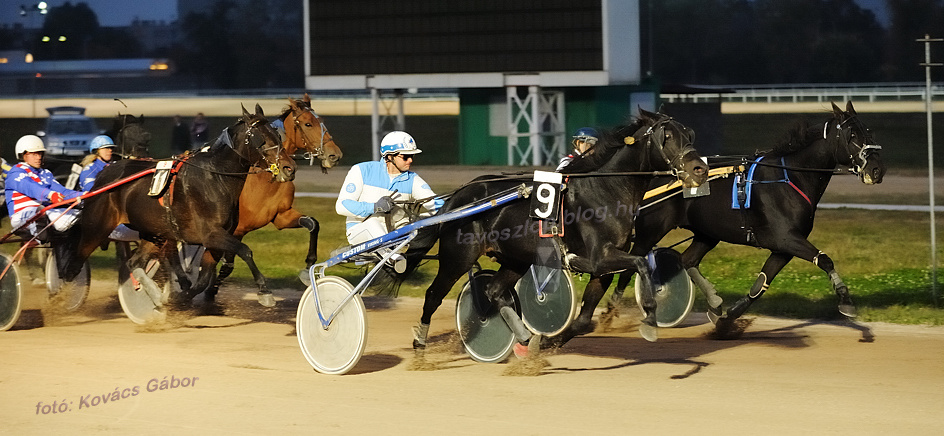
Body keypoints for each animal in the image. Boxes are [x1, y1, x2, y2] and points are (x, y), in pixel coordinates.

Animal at [55, 103, 296, 306]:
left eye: (277, 134)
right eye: (259, 138)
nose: (289, 168)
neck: (215, 178)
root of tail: (104, 175)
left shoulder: (216, 239)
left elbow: (203, 279)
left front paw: (178, 298)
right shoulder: (212, 234)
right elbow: (245, 251)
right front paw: (265, 292)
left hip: (153, 233)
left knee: (134, 263)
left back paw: (154, 294)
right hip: (96, 229)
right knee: (73, 268)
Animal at [402, 110, 712, 354]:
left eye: (689, 134)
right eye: (666, 136)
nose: (699, 169)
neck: (605, 190)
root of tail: (460, 195)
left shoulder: (602, 269)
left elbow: (584, 321)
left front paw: (548, 342)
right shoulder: (599, 258)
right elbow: (641, 264)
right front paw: (649, 319)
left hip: (515, 259)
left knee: (493, 290)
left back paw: (525, 338)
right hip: (458, 256)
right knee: (433, 295)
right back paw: (419, 344)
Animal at [592, 101, 884, 338]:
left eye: (869, 132)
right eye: (852, 135)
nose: (876, 170)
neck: (790, 177)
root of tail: (652, 173)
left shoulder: (783, 247)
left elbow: (760, 285)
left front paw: (725, 321)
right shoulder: (786, 238)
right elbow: (824, 259)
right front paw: (846, 301)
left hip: (707, 233)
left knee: (687, 260)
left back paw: (714, 303)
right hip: (651, 230)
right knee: (630, 267)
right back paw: (609, 313)